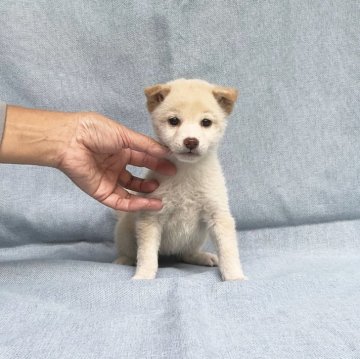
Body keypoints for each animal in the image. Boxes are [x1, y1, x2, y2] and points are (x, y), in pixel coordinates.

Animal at [114, 78, 246, 282]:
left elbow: (228, 251)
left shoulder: (218, 215)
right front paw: (143, 276)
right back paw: (124, 260)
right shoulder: (150, 218)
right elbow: (147, 255)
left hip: (197, 237)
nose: (191, 141)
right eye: (174, 121)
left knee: (186, 254)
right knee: (130, 252)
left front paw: (235, 277)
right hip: (126, 234)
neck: (186, 172)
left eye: (206, 122)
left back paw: (202, 257)